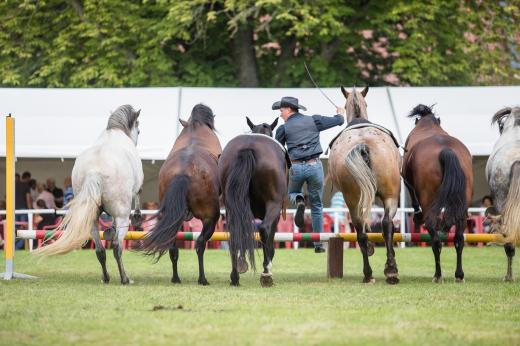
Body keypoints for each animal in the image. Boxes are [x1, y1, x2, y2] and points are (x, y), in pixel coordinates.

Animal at [35, 104, 142, 284]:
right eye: (139, 130)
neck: (114, 132)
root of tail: (94, 171)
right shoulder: (137, 186)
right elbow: (139, 194)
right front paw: (138, 215)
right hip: (121, 216)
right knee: (117, 247)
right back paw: (124, 278)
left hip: (90, 218)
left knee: (100, 250)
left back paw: (106, 277)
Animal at [142, 103, 221, 286]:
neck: (195, 127)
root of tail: (183, 172)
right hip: (210, 218)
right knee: (200, 244)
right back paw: (202, 279)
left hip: (171, 218)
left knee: (172, 246)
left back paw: (175, 278)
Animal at [217, 116, 286, 286]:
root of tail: (248, 147)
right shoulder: (275, 214)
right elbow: (269, 236)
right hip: (273, 205)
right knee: (264, 229)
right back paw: (266, 272)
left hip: (231, 207)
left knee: (234, 233)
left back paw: (235, 275)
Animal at [330, 86, 402, 284]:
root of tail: (363, 145)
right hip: (387, 197)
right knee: (383, 225)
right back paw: (383, 271)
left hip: (357, 200)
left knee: (366, 230)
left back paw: (377, 271)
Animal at [402, 104, 476, 282]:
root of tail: (446, 150)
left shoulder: (406, 180)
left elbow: (413, 196)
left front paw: (417, 215)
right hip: (462, 206)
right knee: (459, 238)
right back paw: (459, 275)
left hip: (429, 202)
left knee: (435, 238)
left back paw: (437, 274)